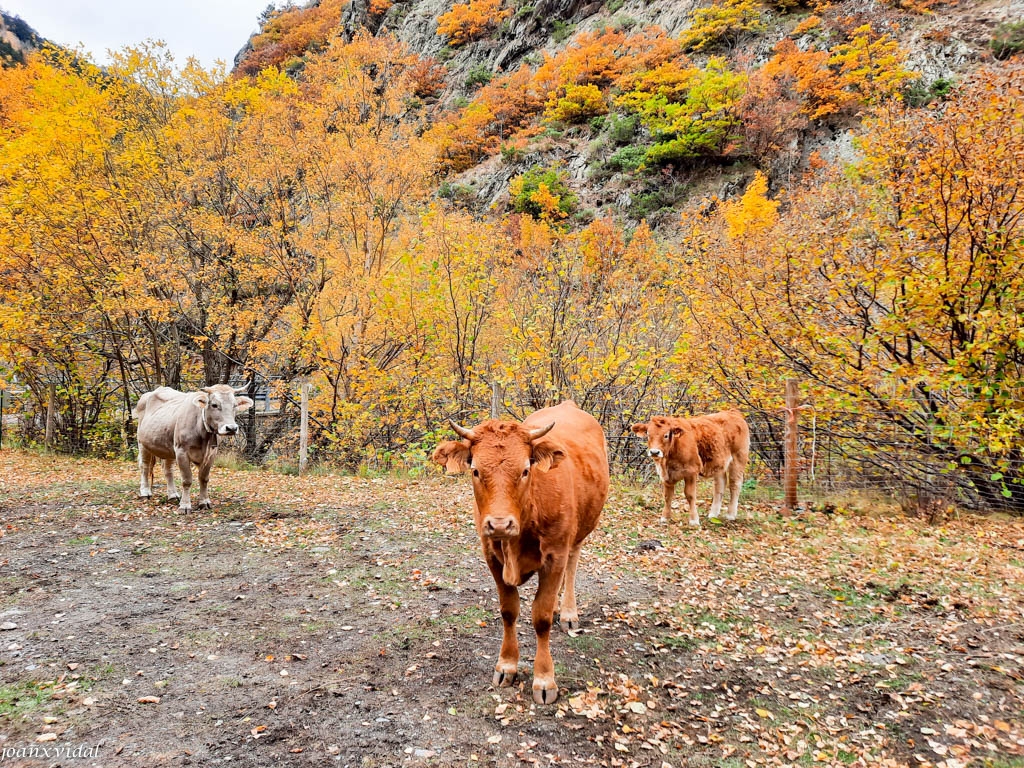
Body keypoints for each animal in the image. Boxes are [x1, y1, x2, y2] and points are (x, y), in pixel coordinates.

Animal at [134, 382, 251, 512]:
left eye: (235, 405)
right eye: (214, 405)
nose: (231, 428)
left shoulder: (211, 454)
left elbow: (204, 478)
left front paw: (204, 502)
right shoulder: (181, 451)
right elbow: (187, 480)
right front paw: (185, 505)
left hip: (168, 447)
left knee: (168, 470)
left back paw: (172, 495)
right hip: (142, 443)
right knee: (144, 466)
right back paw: (145, 492)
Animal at [432, 399, 606, 708]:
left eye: (525, 470)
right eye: (475, 470)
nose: (500, 524)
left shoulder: (555, 556)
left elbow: (541, 617)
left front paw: (544, 679)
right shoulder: (491, 555)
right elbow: (509, 611)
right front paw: (507, 666)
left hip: (581, 531)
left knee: (572, 565)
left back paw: (568, 612)